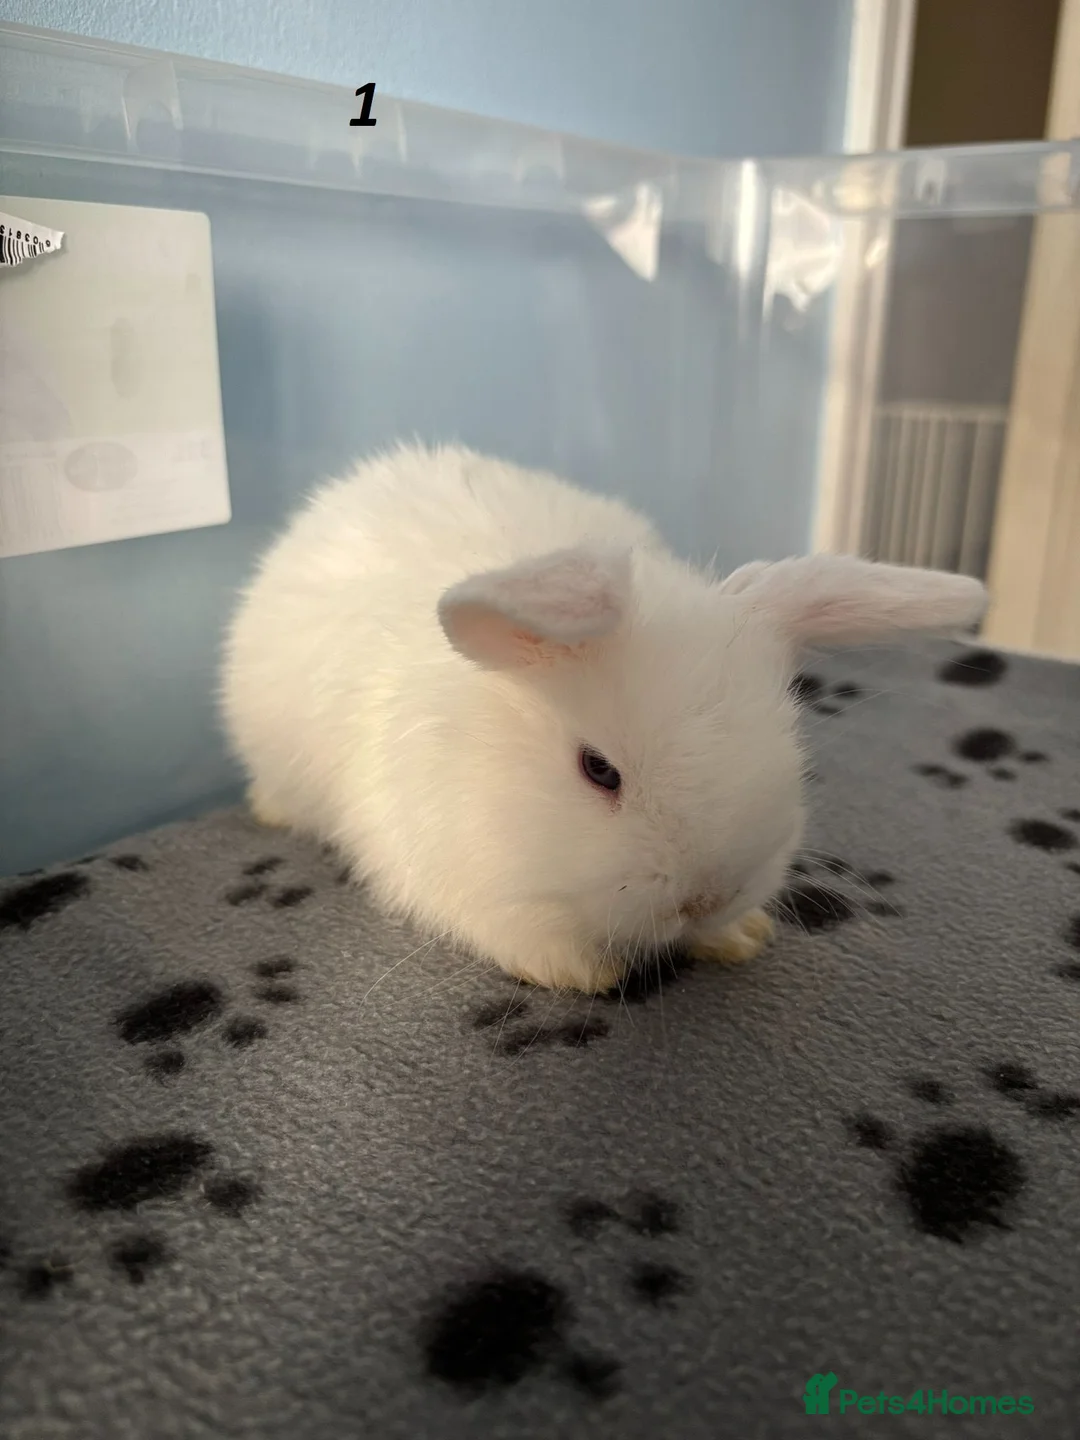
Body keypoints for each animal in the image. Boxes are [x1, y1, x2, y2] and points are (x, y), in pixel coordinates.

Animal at [219, 441, 987, 993]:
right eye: (598, 771)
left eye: (789, 749)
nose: (707, 897)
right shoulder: (458, 878)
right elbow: (522, 933)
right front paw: (587, 975)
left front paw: (740, 938)